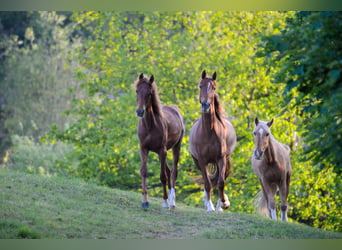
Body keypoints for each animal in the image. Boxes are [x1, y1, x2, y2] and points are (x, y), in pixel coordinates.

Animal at [134, 73, 184, 209]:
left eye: (150, 93)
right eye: (137, 91)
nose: (140, 111)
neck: (150, 126)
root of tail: (175, 109)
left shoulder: (162, 150)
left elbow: (163, 176)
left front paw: (165, 202)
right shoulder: (143, 149)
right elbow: (144, 172)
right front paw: (145, 201)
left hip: (174, 148)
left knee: (173, 172)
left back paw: (172, 202)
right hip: (160, 152)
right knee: (168, 171)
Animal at [188, 71, 236, 213]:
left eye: (214, 87)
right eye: (200, 86)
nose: (205, 105)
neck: (208, 133)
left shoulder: (221, 159)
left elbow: (221, 182)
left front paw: (223, 203)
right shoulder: (202, 161)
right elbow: (208, 183)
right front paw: (210, 206)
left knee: (221, 177)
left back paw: (221, 205)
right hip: (198, 162)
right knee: (207, 180)